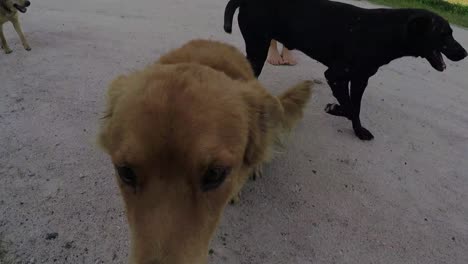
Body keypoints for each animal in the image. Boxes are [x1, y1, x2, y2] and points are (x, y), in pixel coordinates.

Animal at [225, 0, 466, 140]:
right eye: (444, 34)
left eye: (452, 33)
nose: (464, 53)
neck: (384, 32)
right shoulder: (335, 76)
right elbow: (349, 108)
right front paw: (334, 108)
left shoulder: (360, 80)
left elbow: (355, 108)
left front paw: (358, 131)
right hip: (258, 49)